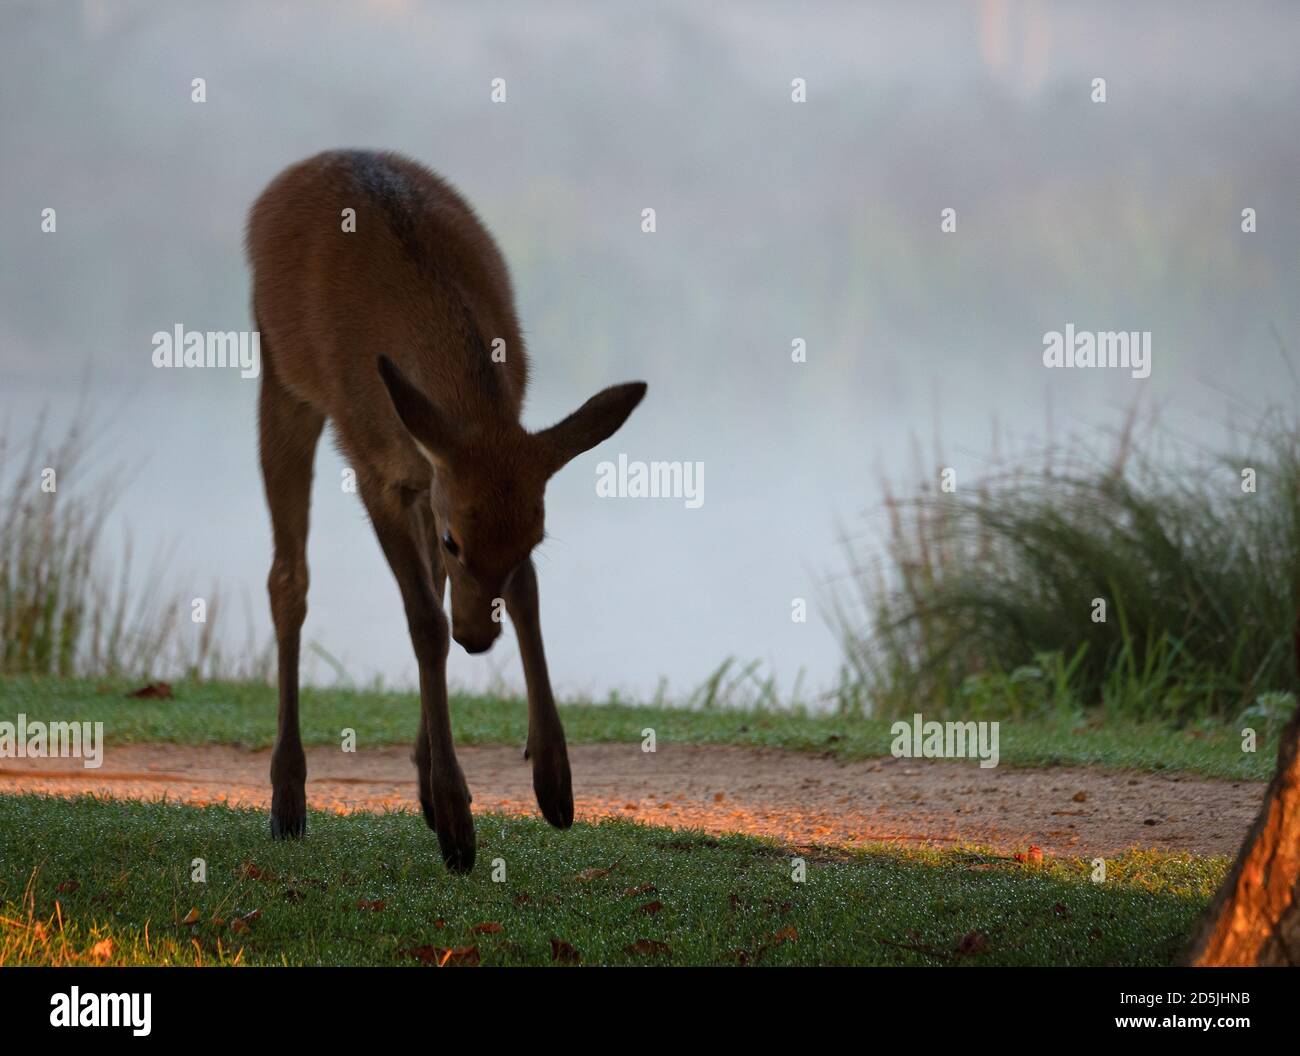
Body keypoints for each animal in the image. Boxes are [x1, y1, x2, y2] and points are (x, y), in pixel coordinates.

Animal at [245, 150, 647, 872]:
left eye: (535, 539)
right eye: (460, 539)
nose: (479, 640)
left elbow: (522, 597)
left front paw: (551, 778)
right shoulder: (374, 469)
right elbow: (424, 623)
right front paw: (459, 824)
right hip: (280, 376)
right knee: (288, 579)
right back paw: (288, 800)